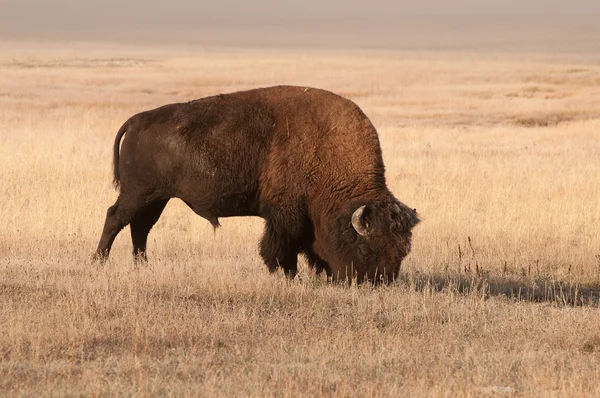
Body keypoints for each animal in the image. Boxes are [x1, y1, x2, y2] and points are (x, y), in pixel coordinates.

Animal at [96, 84, 420, 282]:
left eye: (403, 251)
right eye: (366, 250)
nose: (378, 282)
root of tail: (137, 120)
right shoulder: (285, 215)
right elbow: (281, 247)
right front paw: (288, 275)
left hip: (157, 198)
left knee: (140, 227)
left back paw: (142, 266)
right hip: (139, 193)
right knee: (115, 218)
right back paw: (99, 261)